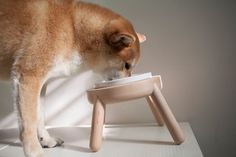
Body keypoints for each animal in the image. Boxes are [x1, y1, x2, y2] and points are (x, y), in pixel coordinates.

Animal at [0, 0, 146, 156]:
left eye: (131, 67)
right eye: (127, 65)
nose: (130, 80)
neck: (72, 29)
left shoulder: (41, 83)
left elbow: (40, 116)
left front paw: (46, 140)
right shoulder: (29, 76)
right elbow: (29, 122)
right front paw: (34, 151)